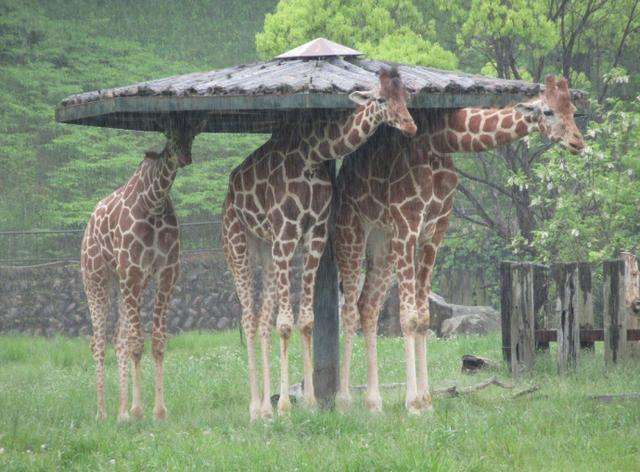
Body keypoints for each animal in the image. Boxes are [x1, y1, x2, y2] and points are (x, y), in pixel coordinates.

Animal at [81, 117, 204, 420]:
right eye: (170, 135)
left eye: (193, 135)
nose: (185, 157)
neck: (154, 203)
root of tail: (89, 224)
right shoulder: (133, 270)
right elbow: (137, 343)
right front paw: (139, 410)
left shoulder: (167, 272)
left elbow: (156, 341)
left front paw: (157, 411)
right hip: (97, 277)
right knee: (98, 340)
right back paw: (102, 413)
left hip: (122, 283)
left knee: (118, 338)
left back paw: (121, 413)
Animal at [222, 68, 418, 422]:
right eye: (380, 99)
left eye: (404, 97)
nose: (409, 126)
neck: (312, 153)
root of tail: (230, 189)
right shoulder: (287, 232)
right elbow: (285, 323)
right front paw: (286, 406)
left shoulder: (314, 232)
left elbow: (306, 321)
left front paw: (311, 402)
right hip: (236, 242)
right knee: (247, 317)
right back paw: (256, 407)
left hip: (265, 247)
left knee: (261, 320)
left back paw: (264, 408)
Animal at [336, 74, 584, 412]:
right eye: (548, 111)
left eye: (573, 110)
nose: (578, 142)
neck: (441, 140)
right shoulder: (407, 224)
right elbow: (408, 317)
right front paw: (413, 403)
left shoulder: (435, 230)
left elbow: (423, 317)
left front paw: (426, 400)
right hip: (352, 231)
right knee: (349, 308)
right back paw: (344, 400)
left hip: (382, 240)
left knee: (369, 306)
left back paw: (374, 403)